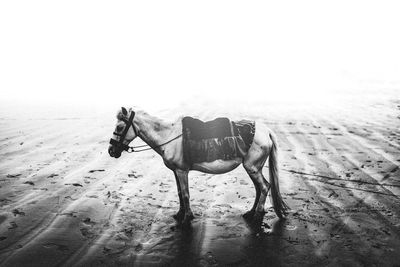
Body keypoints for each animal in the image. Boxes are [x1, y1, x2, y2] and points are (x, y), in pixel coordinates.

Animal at [107, 107, 288, 226]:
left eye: (119, 127)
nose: (111, 150)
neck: (168, 136)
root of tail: (266, 131)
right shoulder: (176, 171)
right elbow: (180, 193)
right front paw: (180, 214)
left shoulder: (182, 171)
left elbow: (186, 194)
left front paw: (187, 217)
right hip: (254, 169)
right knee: (259, 188)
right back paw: (251, 213)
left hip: (252, 168)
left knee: (264, 187)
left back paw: (257, 215)